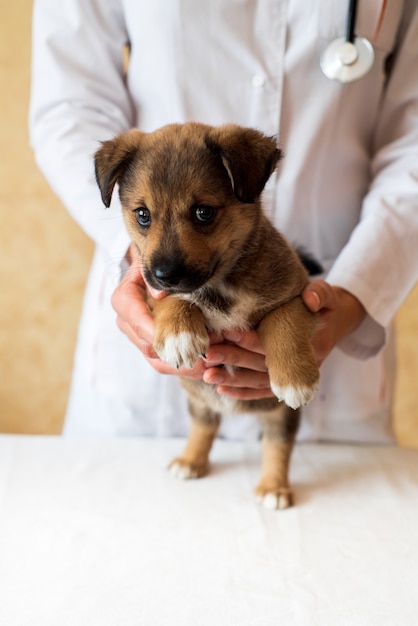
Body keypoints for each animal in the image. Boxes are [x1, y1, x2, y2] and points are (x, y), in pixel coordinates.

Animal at [94, 120, 320, 508]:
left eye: (203, 212)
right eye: (143, 215)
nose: (165, 273)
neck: (219, 286)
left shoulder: (297, 291)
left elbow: (285, 324)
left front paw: (295, 378)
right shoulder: (149, 283)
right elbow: (171, 298)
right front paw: (179, 333)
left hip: (277, 417)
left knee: (277, 446)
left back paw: (273, 487)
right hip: (199, 399)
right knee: (204, 426)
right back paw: (190, 460)